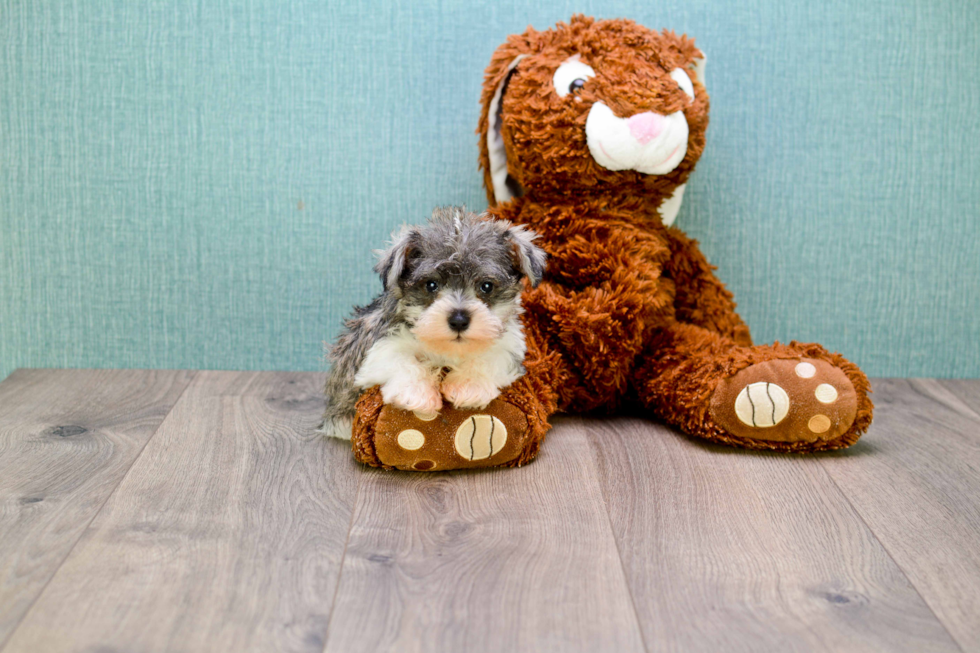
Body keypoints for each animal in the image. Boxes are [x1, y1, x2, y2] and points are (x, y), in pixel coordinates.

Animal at [320, 205, 544, 438]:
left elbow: (490, 357)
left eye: (487, 286)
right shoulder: (376, 349)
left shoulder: (510, 345)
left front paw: (468, 385)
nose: (459, 320)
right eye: (431, 284)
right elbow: (401, 359)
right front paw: (417, 394)